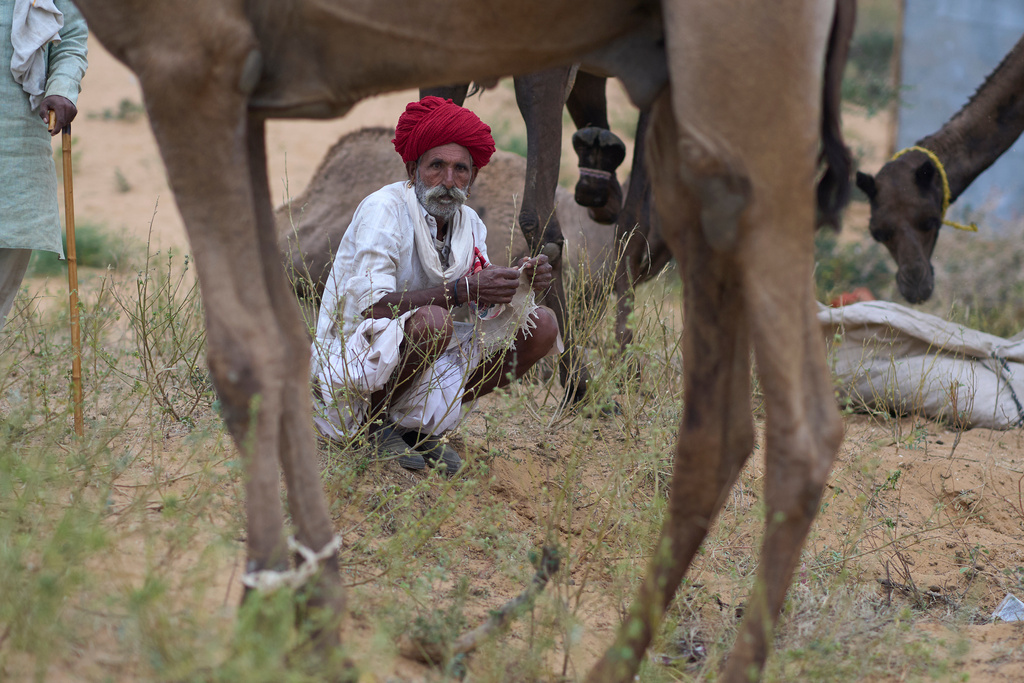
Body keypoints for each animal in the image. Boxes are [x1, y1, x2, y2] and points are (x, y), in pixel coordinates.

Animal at [70, 0, 854, 680]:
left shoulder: (191, 57)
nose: (599, 165)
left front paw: (269, 621)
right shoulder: (245, 89)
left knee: (799, 423)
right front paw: (310, 619)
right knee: (716, 421)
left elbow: (247, 355)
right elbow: (290, 342)